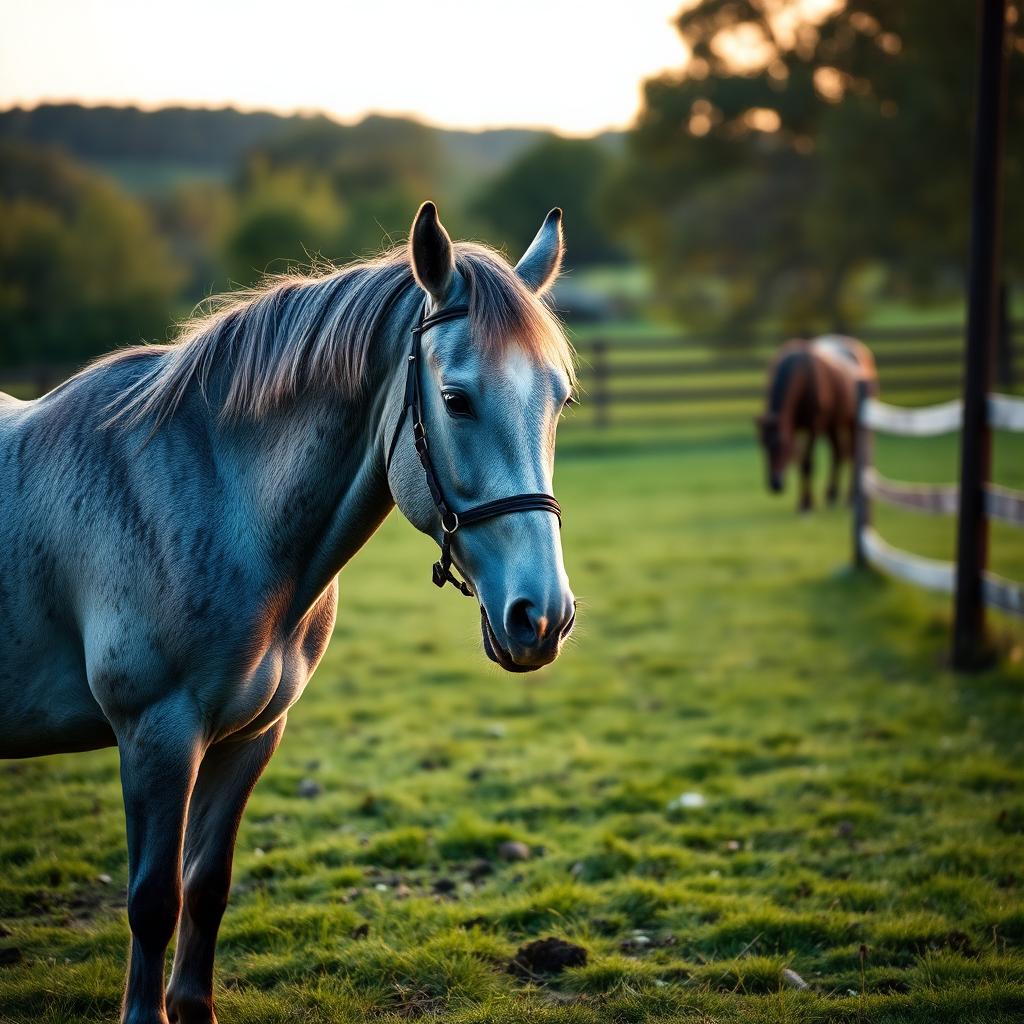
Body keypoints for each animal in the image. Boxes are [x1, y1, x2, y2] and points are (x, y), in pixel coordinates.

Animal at [0, 202, 577, 1024]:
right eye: (457, 400)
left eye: (560, 399)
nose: (543, 616)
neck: (220, 503)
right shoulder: (155, 738)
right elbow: (153, 901)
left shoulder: (249, 737)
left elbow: (205, 889)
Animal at [754, 334, 877, 512]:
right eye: (763, 444)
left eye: (782, 443)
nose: (775, 484)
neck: (801, 373)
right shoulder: (793, 427)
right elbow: (800, 461)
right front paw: (802, 502)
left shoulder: (813, 427)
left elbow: (807, 463)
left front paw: (807, 504)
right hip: (831, 425)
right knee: (838, 453)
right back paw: (832, 494)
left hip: (853, 423)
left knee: (853, 455)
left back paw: (850, 498)